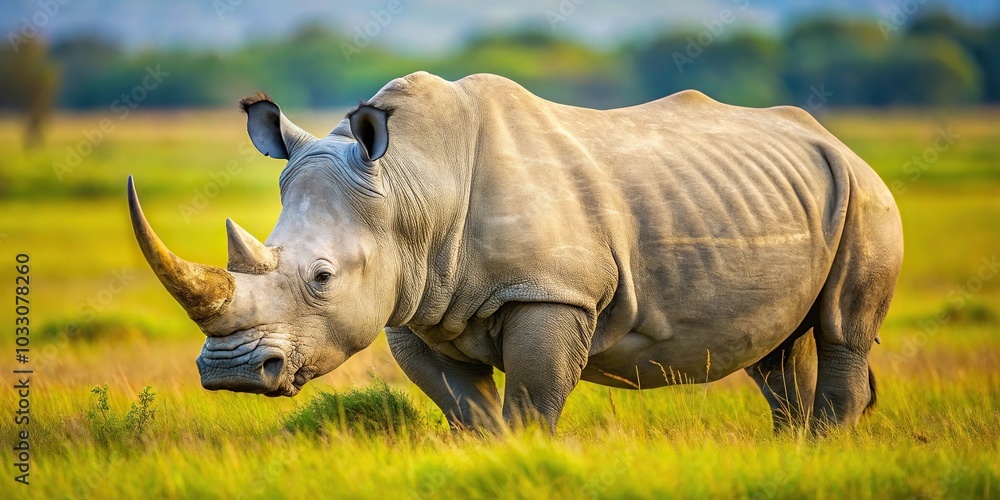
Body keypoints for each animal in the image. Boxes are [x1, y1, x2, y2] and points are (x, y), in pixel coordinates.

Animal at [127, 71, 902, 432]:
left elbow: (531, 407)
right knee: (775, 355)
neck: (409, 187)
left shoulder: (551, 293)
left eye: (321, 277)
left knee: (841, 329)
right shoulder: (415, 308)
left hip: (866, 193)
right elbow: (473, 418)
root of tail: (835, 140)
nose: (231, 373)